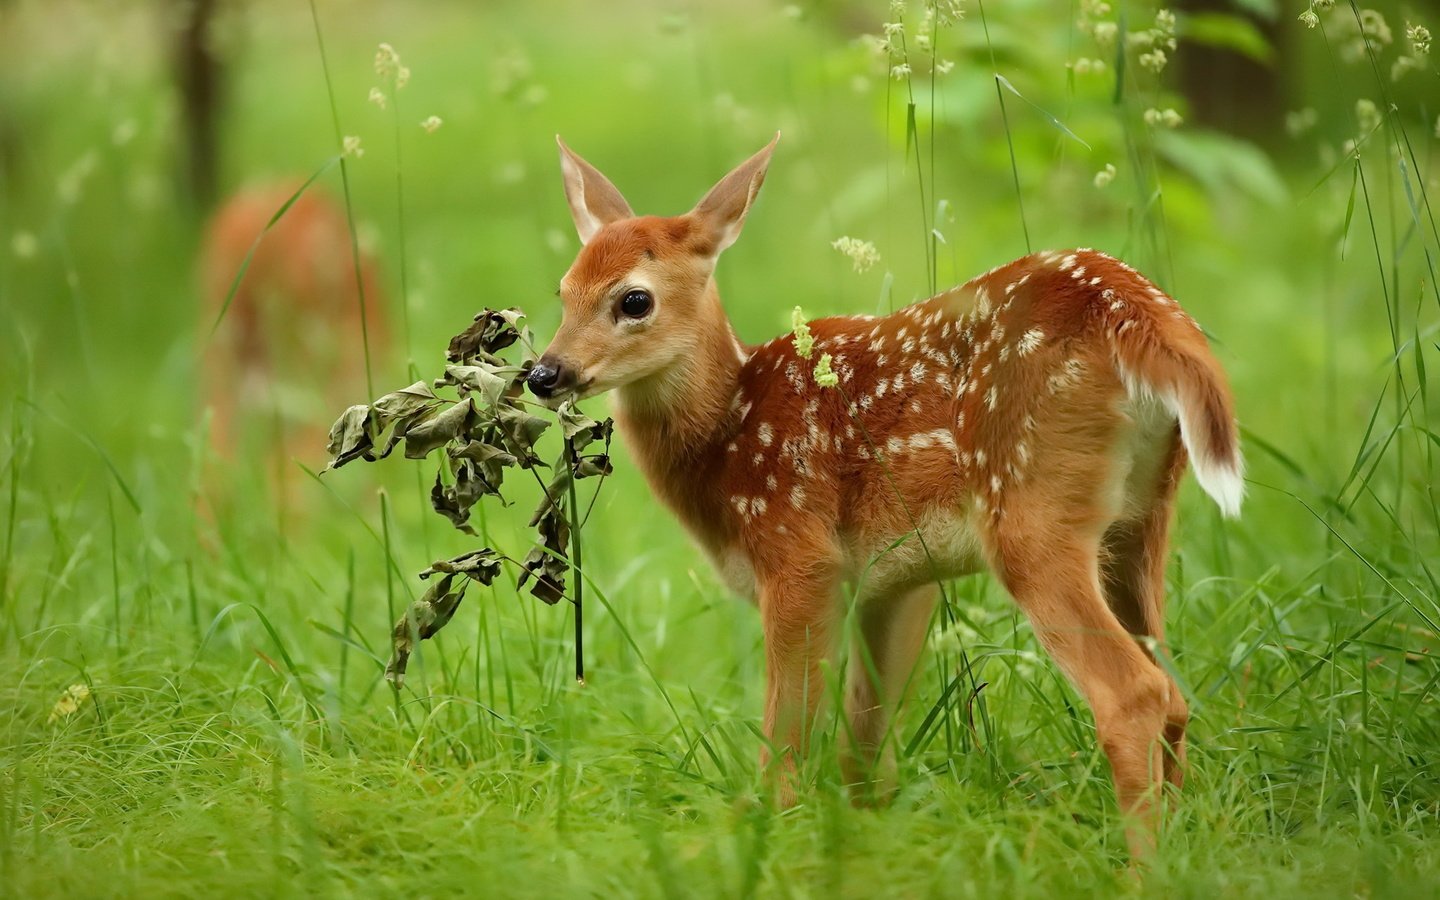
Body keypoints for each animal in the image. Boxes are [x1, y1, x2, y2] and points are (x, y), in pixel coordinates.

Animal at [529, 135, 1238, 858]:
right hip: (1141, 519)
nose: (544, 373)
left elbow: (790, 736)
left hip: (1030, 511)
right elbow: (864, 742)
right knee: (1175, 691)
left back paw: (1141, 867)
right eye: (563, 290)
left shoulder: (799, 551)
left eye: (633, 300)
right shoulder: (894, 579)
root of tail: (1139, 313)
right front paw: (865, 840)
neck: (727, 433)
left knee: (1135, 694)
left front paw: (764, 835)